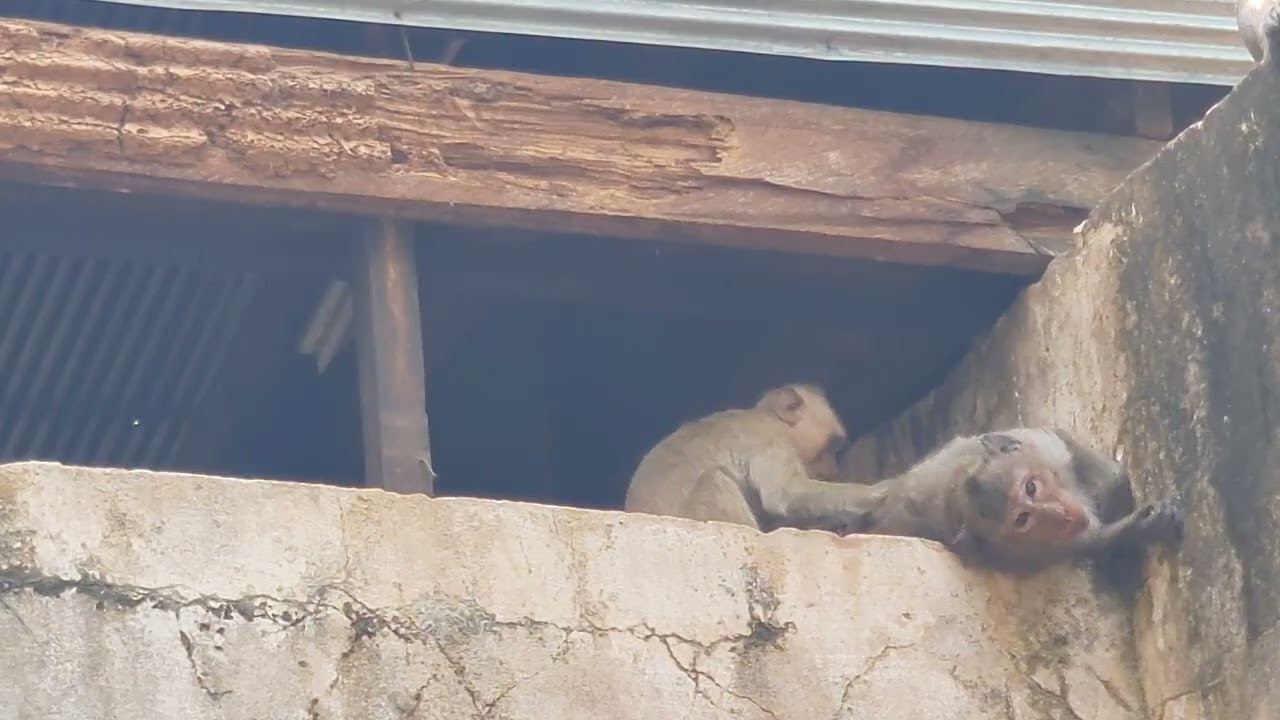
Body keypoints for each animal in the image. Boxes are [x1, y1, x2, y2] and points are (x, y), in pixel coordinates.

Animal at [623, 383, 883, 532]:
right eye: (832, 446)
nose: (832, 469)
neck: (772, 418)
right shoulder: (771, 442)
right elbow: (785, 494)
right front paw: (876, 494)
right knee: (713, 479)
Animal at [827, 427, 1183, 572]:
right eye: (1022, 520)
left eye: (1031, 488)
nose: (1062, 514)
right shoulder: (1022, 554)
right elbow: (1089, 543)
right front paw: (1139, 527)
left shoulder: (1047, 446)